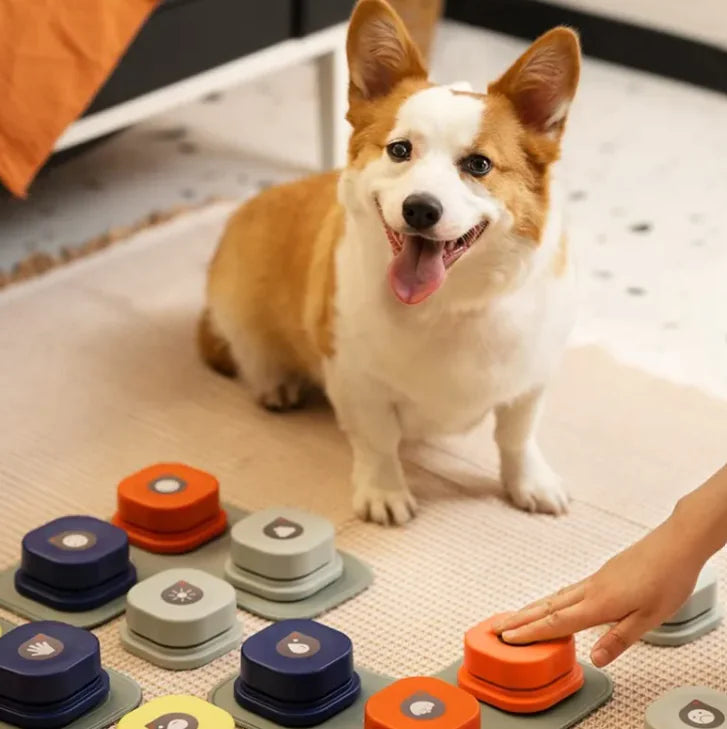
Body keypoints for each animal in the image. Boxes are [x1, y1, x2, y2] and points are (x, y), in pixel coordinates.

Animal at [199, 0, 580, 524]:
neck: (449, 305)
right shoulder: (356, 381)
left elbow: (516, 437)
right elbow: (378, 442)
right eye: (400, 150)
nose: (420, 209)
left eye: (479, 165)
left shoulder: (529, 382)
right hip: (239, 307)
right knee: (250, 353)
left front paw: (530, 483)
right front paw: (384, 492)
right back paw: (275, 384)